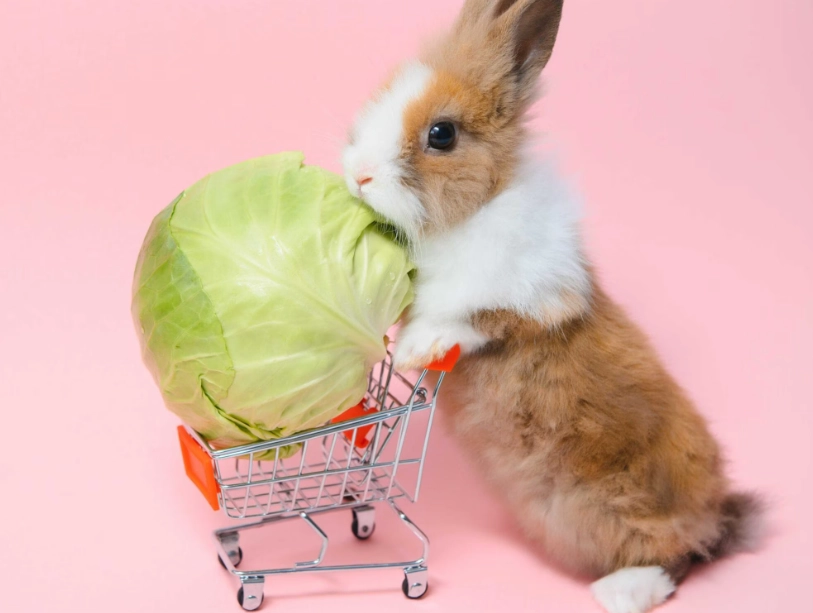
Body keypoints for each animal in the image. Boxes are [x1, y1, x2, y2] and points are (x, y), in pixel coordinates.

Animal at [341, 1, 764, 612]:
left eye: (441, 134)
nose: (358, 176)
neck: (472, 212)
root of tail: (719, 514)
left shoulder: (535, 297)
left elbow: (475, 319)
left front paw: (415, 351)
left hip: (629, 512)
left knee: (684, 556)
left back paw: (623, 591)